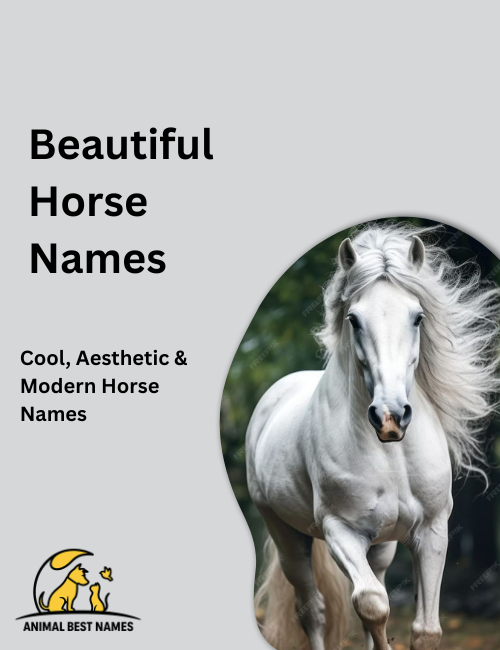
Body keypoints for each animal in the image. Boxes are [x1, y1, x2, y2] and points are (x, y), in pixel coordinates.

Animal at [246, 223, 500, 650]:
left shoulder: (432, 530)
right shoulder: (340, 531)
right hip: (287, 537)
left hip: (380, 546)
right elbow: (372, 604)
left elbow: (425, 629)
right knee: (313, 611)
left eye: (417, 317)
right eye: (353, 319)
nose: (390, 417)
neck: (392, 455)